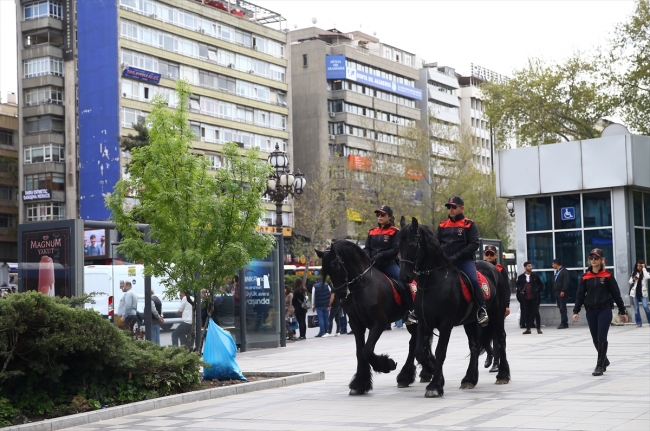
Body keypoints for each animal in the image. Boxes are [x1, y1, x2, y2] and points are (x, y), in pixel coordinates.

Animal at [316, 241, 430, 396]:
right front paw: (359, 384)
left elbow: (367, 350)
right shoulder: (356, 325)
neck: (361, 286)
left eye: (336, 265)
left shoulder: (379, 323)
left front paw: (387, 364)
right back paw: (410, 375)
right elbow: (360, 352)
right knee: (415, 341)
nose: (341, 293)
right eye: (326, 269)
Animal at [398, 218, 508, 400]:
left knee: (500, 339)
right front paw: (432, 371)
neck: (432, 283)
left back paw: (503, 375)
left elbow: (440, 351)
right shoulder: (423, 323)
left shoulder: (446, 324)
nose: (404, 276)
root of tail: (492, 267)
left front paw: (435, 385)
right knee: (474, 346)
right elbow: (420, 351)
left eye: (414, 243)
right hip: (470, 321)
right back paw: (469, 379)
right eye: (399, 244)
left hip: (497, 314)